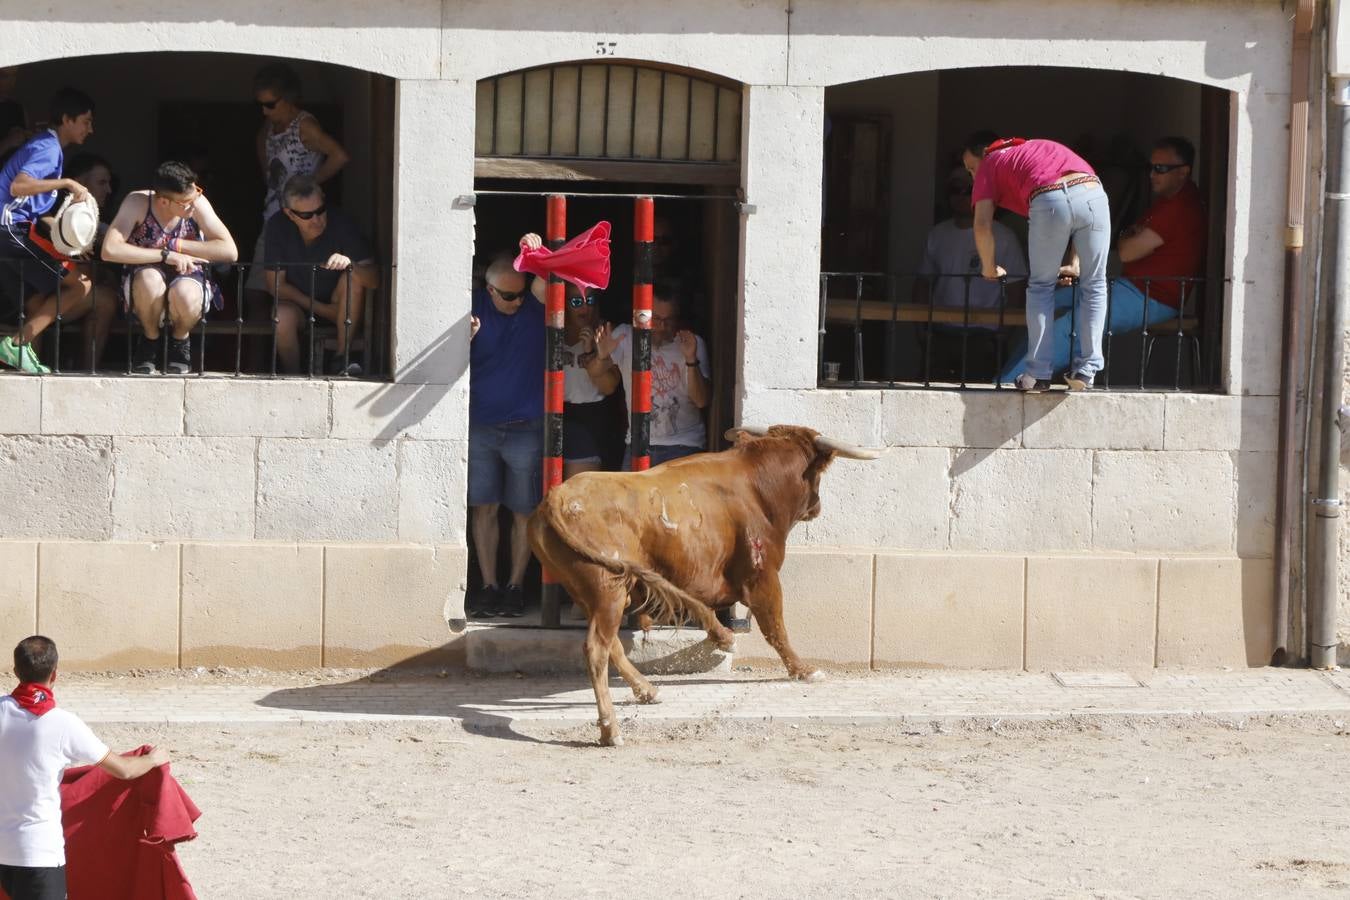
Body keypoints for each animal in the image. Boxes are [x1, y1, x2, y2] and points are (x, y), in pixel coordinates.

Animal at [521, 423, 880, 744]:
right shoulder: (763, 576)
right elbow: (775, 627)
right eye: (817, 475)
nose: (816, 507)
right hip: (607, 590)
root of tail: (556, 498)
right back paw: (611, 729)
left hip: (592, 592)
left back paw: (647, 690)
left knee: (612, 645)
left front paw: (724, 638)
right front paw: (803, 670)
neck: (756, 486)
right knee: (597, 649)